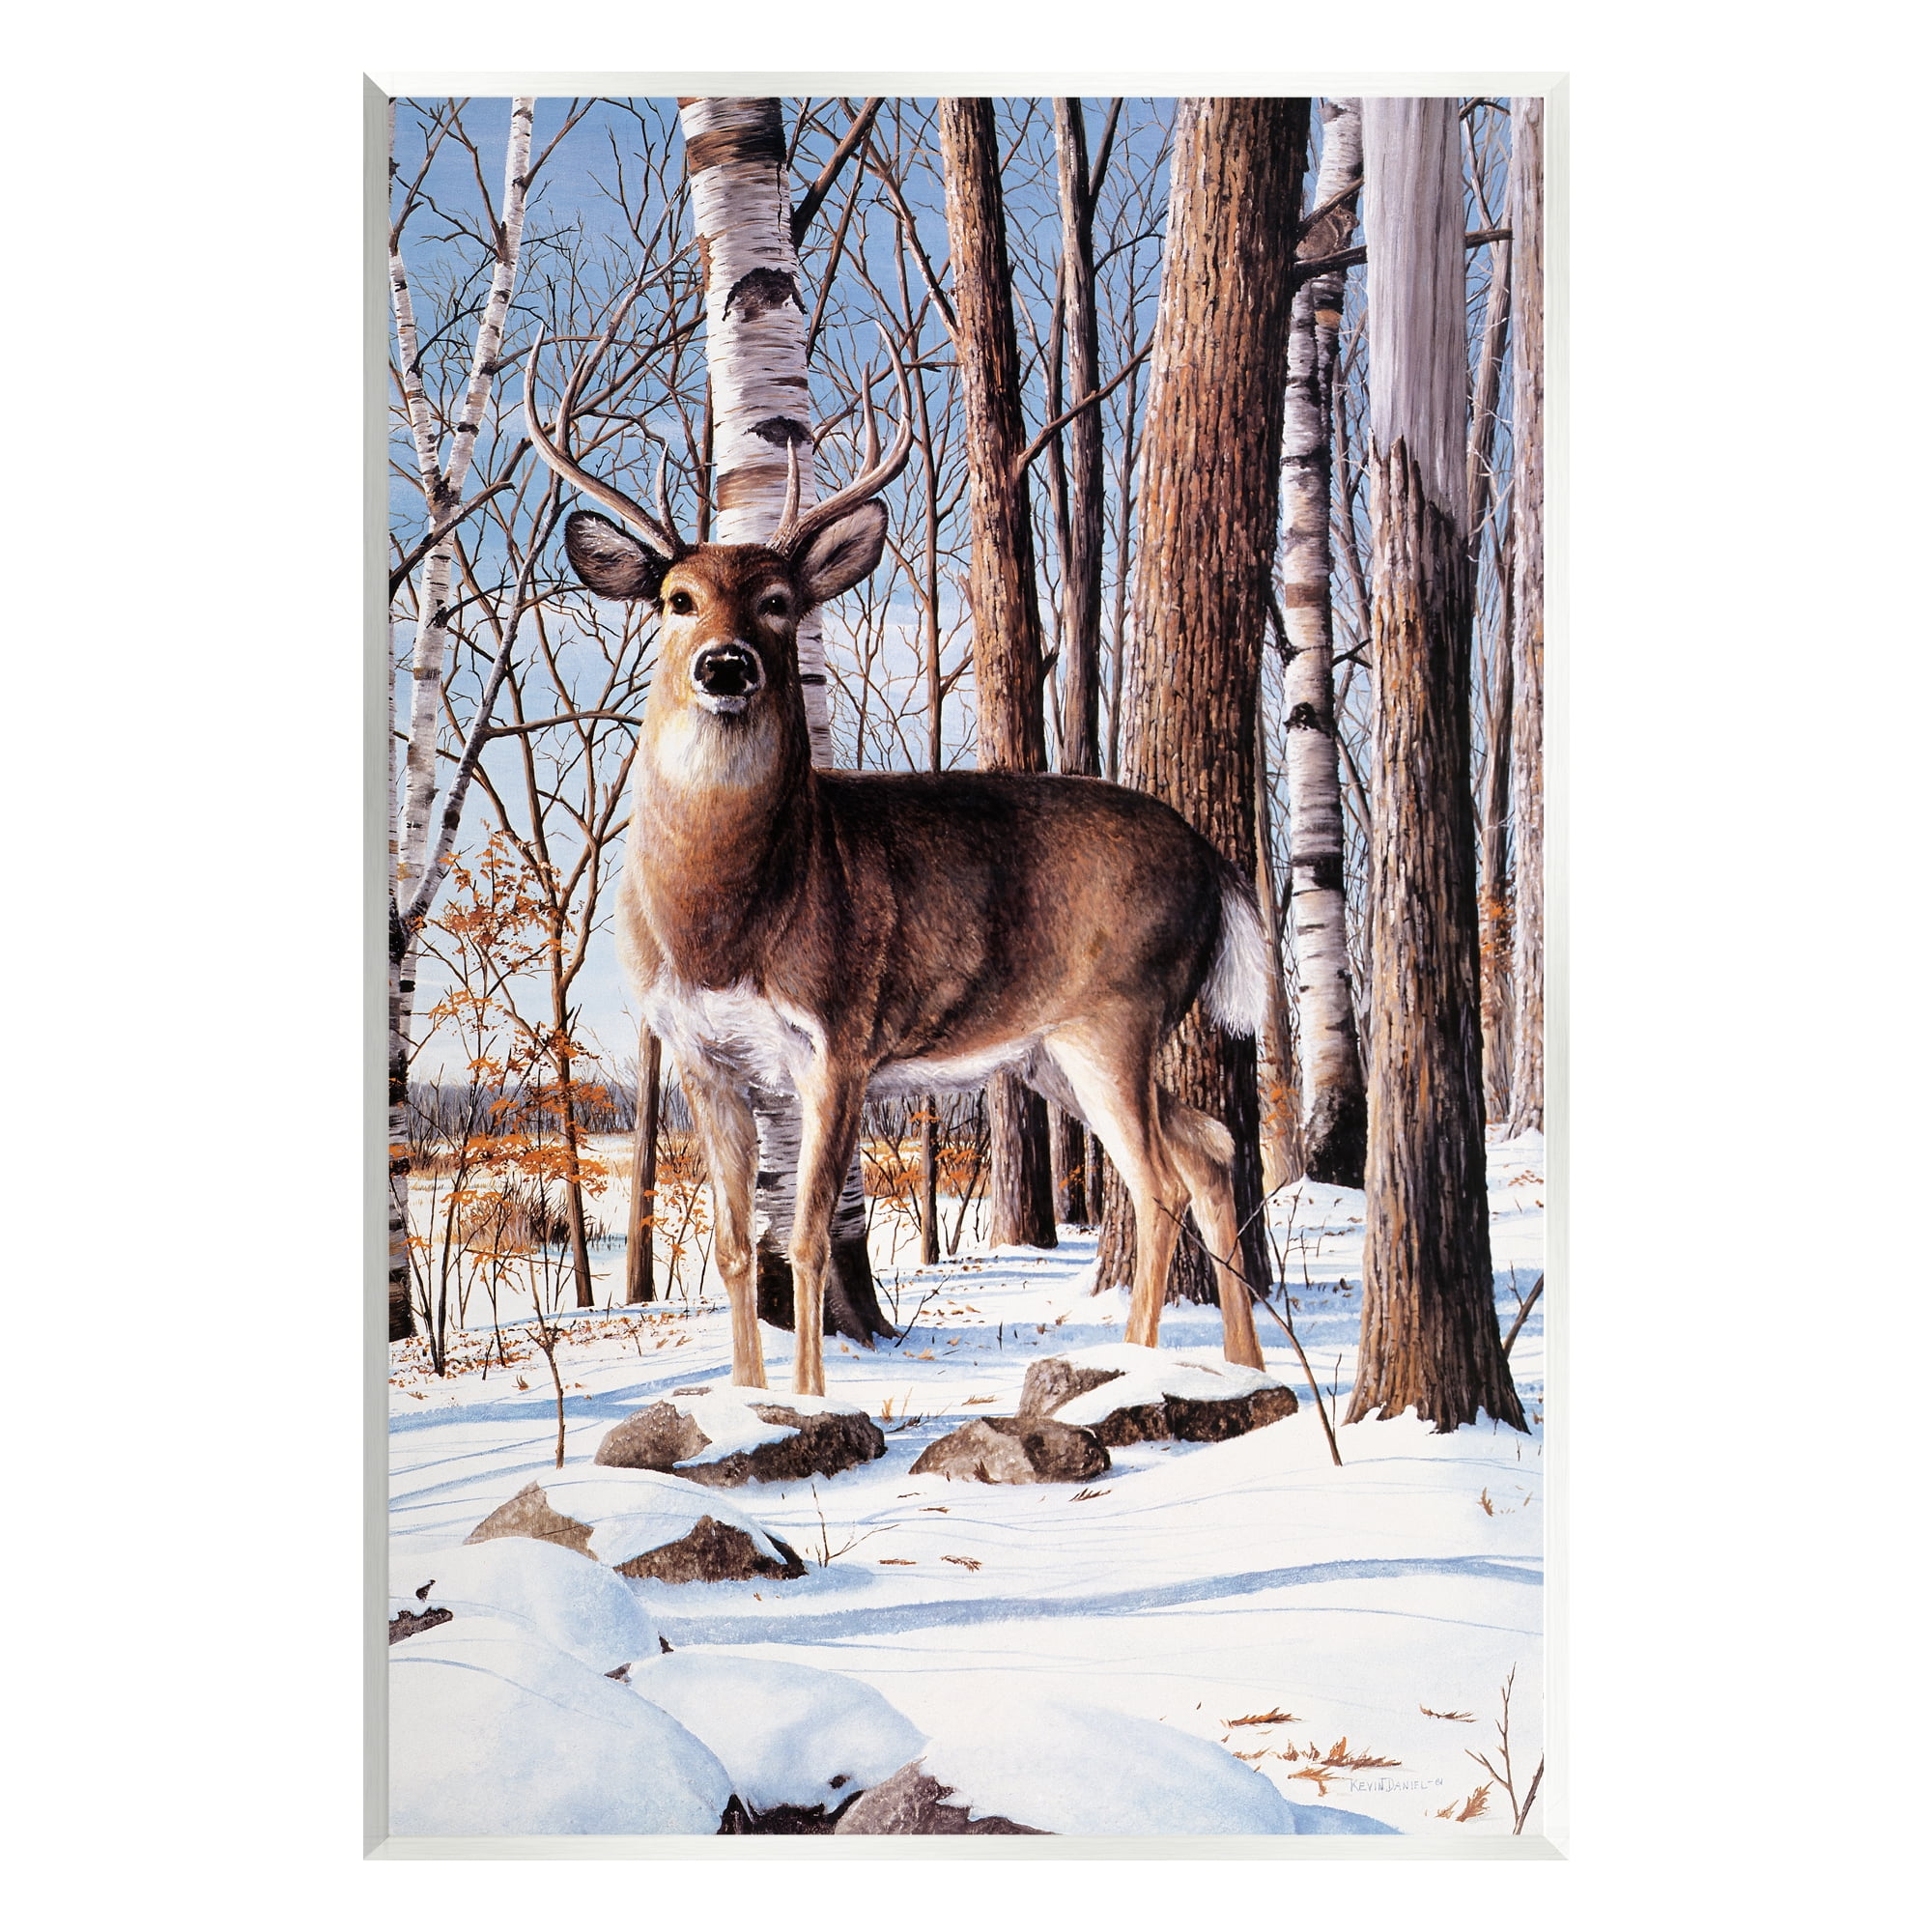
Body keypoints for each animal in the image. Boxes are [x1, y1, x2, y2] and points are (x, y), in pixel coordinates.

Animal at [524, 331, 1272, 1398]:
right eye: (676, 599)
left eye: (778, 601)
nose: (725, 665)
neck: (725, 920)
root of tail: (1215, 857)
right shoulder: (703, 1056)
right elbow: (733, 1246)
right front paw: (748, 1399)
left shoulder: (838, 1036)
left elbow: (803, 1236)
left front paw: (803, 1399)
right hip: (1048, 1051)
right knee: (1208, 1146)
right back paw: (1242, 1369)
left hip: (1118, 1012)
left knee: (1160, 1182)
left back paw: (1137, 1365)